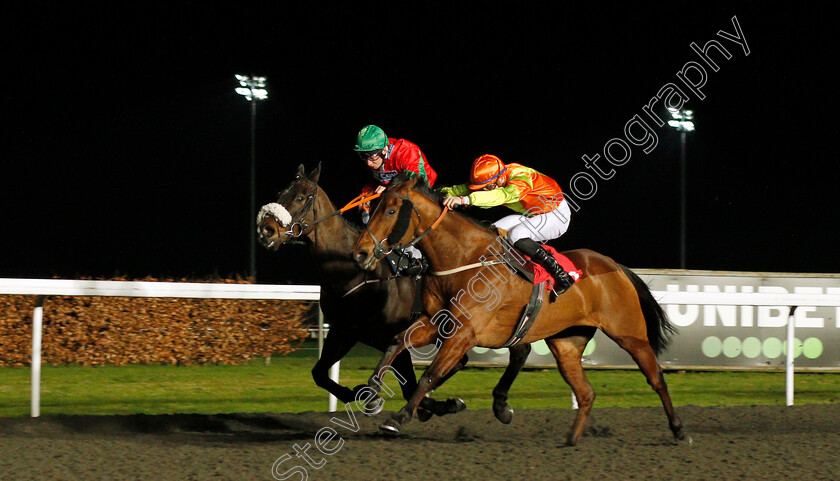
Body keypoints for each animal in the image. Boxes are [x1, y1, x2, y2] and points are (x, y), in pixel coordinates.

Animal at [256, 164, 532, 420]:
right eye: (280, 193)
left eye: (301, 197)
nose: (265, 230)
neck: (353, 274)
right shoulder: (344, 330)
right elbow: (319, 373)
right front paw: (363, 395)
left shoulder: (390, 333)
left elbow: (408, 385)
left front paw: (433, 405)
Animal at [352, 173, 684, 446]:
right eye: (374, 206)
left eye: (391, 211)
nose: (360, 253)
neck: (463, 258)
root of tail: (615, 266)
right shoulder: (436, 321)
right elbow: (396, 343)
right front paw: (371, 394)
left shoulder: (464, 334)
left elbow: (430, 374)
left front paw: (399, 418)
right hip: (566, 343)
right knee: (586, 392)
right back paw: (571, 440)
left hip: (629, 334)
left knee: (656, 377)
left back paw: (679, 429)